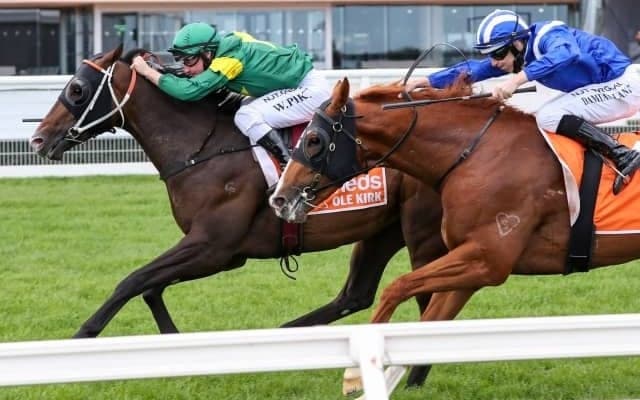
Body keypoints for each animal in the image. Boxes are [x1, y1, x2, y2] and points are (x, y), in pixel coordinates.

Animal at [28, 45, 447, 388]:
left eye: (77, 89)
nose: (38, 139)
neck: (202, 149)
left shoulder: (212, 246)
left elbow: (131, 282)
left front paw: (76, 345)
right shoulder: (220, 253)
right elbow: (149, 288)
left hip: (421, 233)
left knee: (430, 298)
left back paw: (415, 377)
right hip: (381, 230)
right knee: (356, 295)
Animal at [270, 77, 640, 389]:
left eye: (314, 140)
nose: (279, 197)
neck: (475, 154)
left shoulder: (488, 259)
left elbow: (396, 287)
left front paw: (355, 374)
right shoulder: (471, 264)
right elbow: (431, 320)